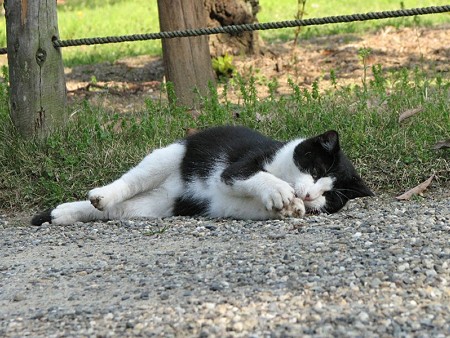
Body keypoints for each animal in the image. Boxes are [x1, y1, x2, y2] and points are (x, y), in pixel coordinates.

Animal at [31, 125, 374, 226]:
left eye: (330, 197)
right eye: (315, 171)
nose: (309, 194)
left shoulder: (231, 205)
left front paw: (291, 207)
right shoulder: (238, 166)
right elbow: (249, 175)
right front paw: (280, 192)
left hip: (154, 206)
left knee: (119, 210)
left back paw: (63, 214)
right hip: (167, 156)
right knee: (128, 183)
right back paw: (102, 195)